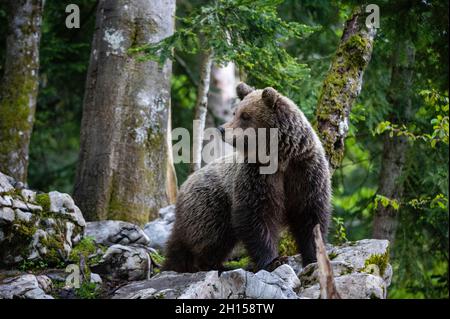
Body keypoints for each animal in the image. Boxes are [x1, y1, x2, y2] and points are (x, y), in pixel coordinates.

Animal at [163, 84, 332, 274]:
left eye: (245, 115)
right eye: (235, 112)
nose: (222, 129)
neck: (281, 158)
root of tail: (184, 186)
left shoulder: (305, 171)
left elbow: (310, 215)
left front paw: (314, 257)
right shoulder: (257, 175)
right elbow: (256, 215)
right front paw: (274, 260)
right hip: (210, 204)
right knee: (210, 236)